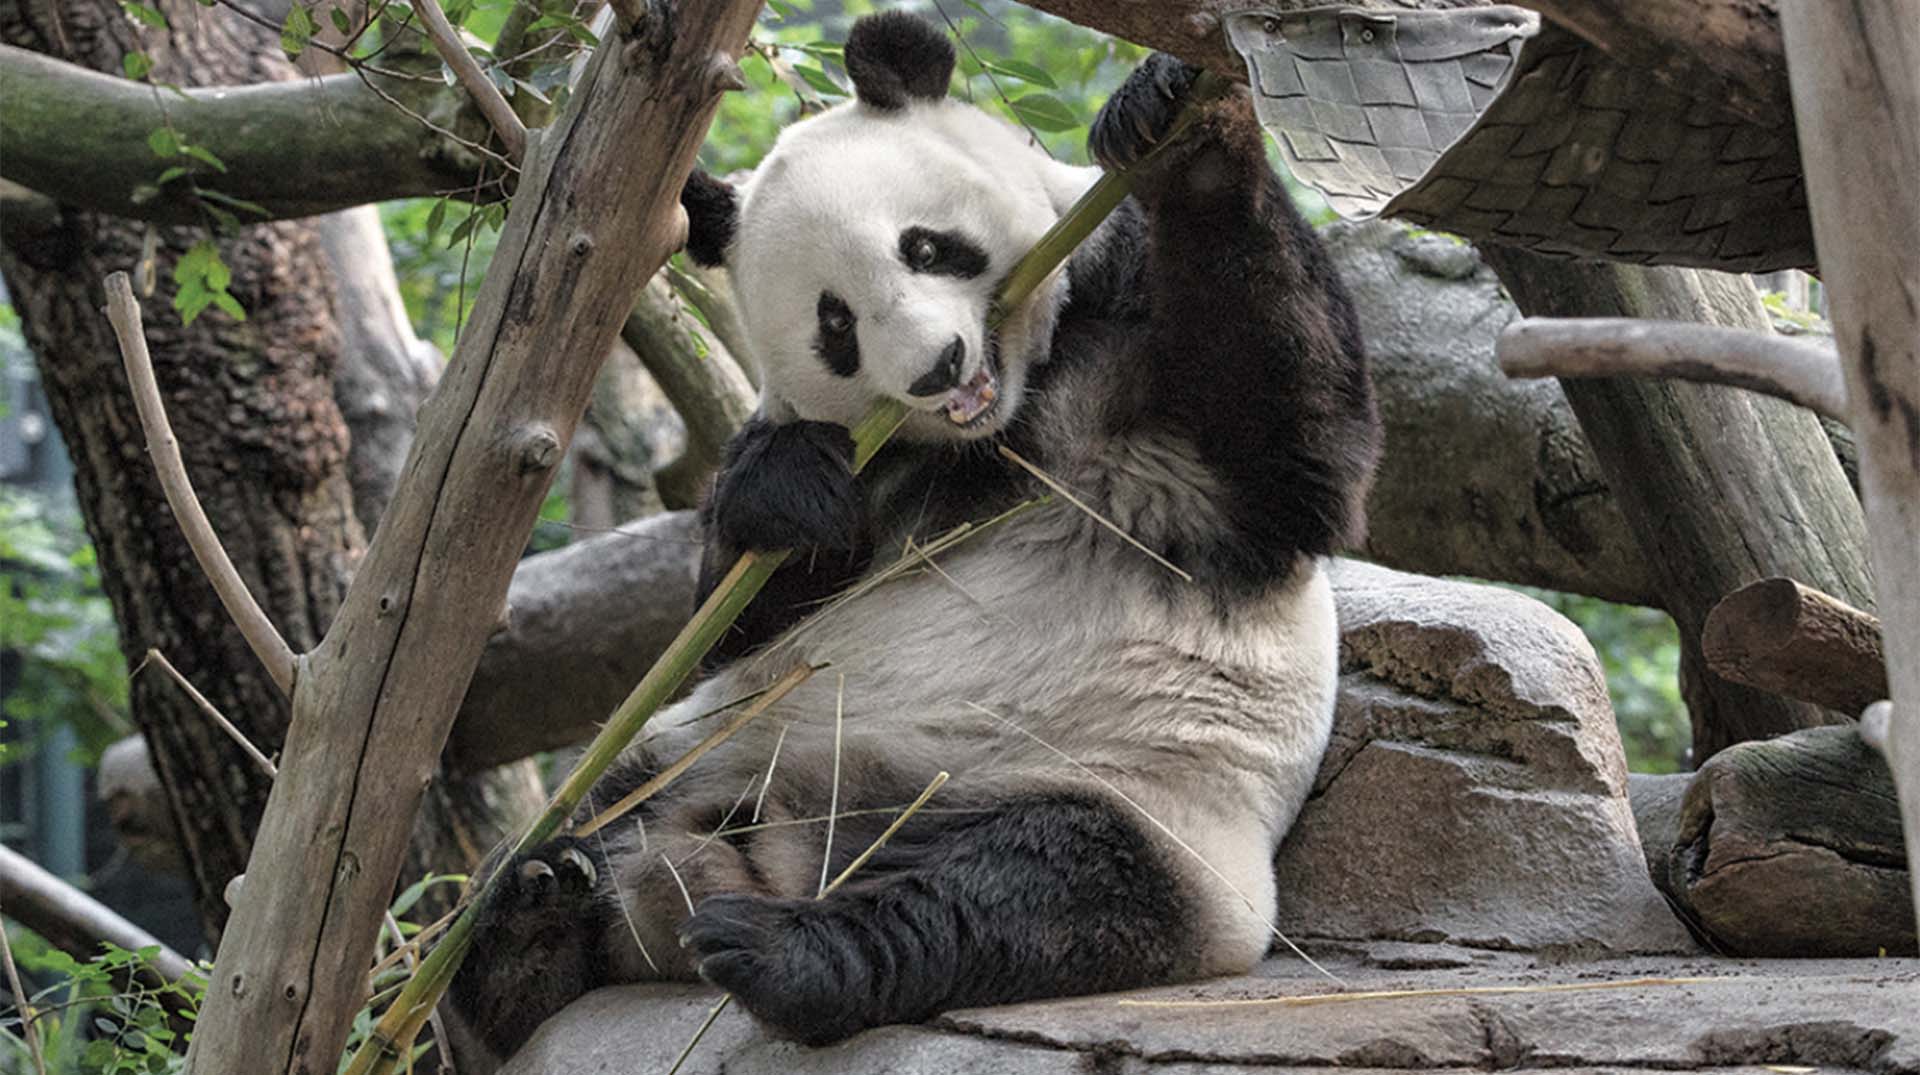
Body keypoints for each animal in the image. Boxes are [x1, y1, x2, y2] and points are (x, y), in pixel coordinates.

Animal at [453, 8, 1382, 1059]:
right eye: (836, 325)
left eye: (928, 248)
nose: (939, 367)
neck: (1000, 423)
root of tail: (776, 854)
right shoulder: (873, 469)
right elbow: (726, 617)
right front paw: (784, 492)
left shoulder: (1133, 333)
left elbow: (1303, 457)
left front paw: (1178, 126)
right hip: (702, 745)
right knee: (599, 812)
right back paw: (530, 927)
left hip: (1139, 801)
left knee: (1027, 887)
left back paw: (790, 951)